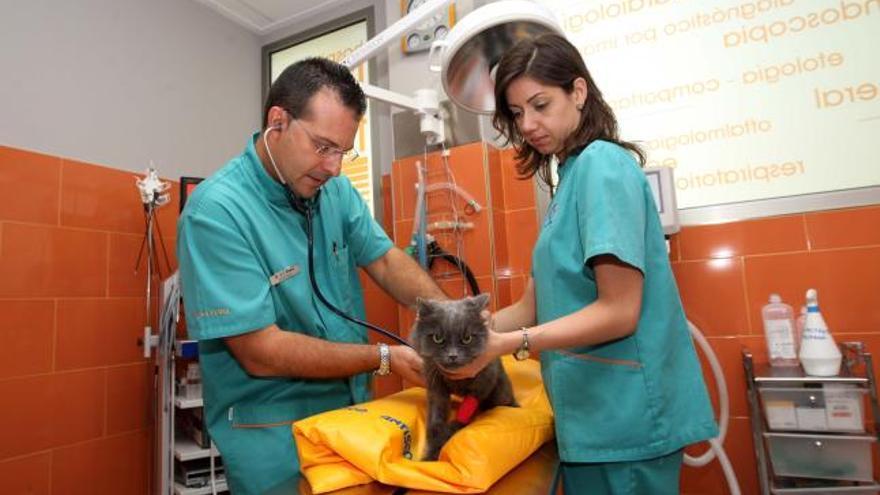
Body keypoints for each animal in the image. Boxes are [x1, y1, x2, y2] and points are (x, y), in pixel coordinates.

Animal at [410, 294, 516, 462]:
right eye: (437, 338)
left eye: (467, 338)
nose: (453, 356)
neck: (457, 381)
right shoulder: (435, 387)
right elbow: (435, 420)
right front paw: (431, 451)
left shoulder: (482, 383)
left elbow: (464, 414)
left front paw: (446, 436)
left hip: (500, 393)